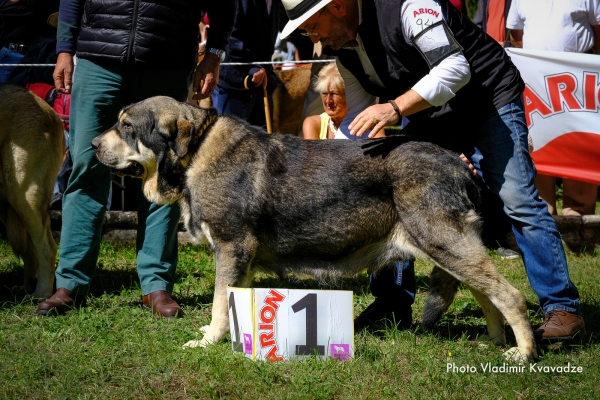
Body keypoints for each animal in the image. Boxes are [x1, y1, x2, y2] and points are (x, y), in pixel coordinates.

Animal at [94, 96, 540, 360]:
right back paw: (497, 341)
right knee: (487, 294)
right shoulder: (243, 261)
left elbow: (222, 303)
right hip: (449, 250)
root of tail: (459, 165)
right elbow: (235, 302)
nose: (94, 145)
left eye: (127, 127)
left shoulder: (231, 248)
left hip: (445, 244)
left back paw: (523, 352)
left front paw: (208, 341)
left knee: (509, 295)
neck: (196, 153)